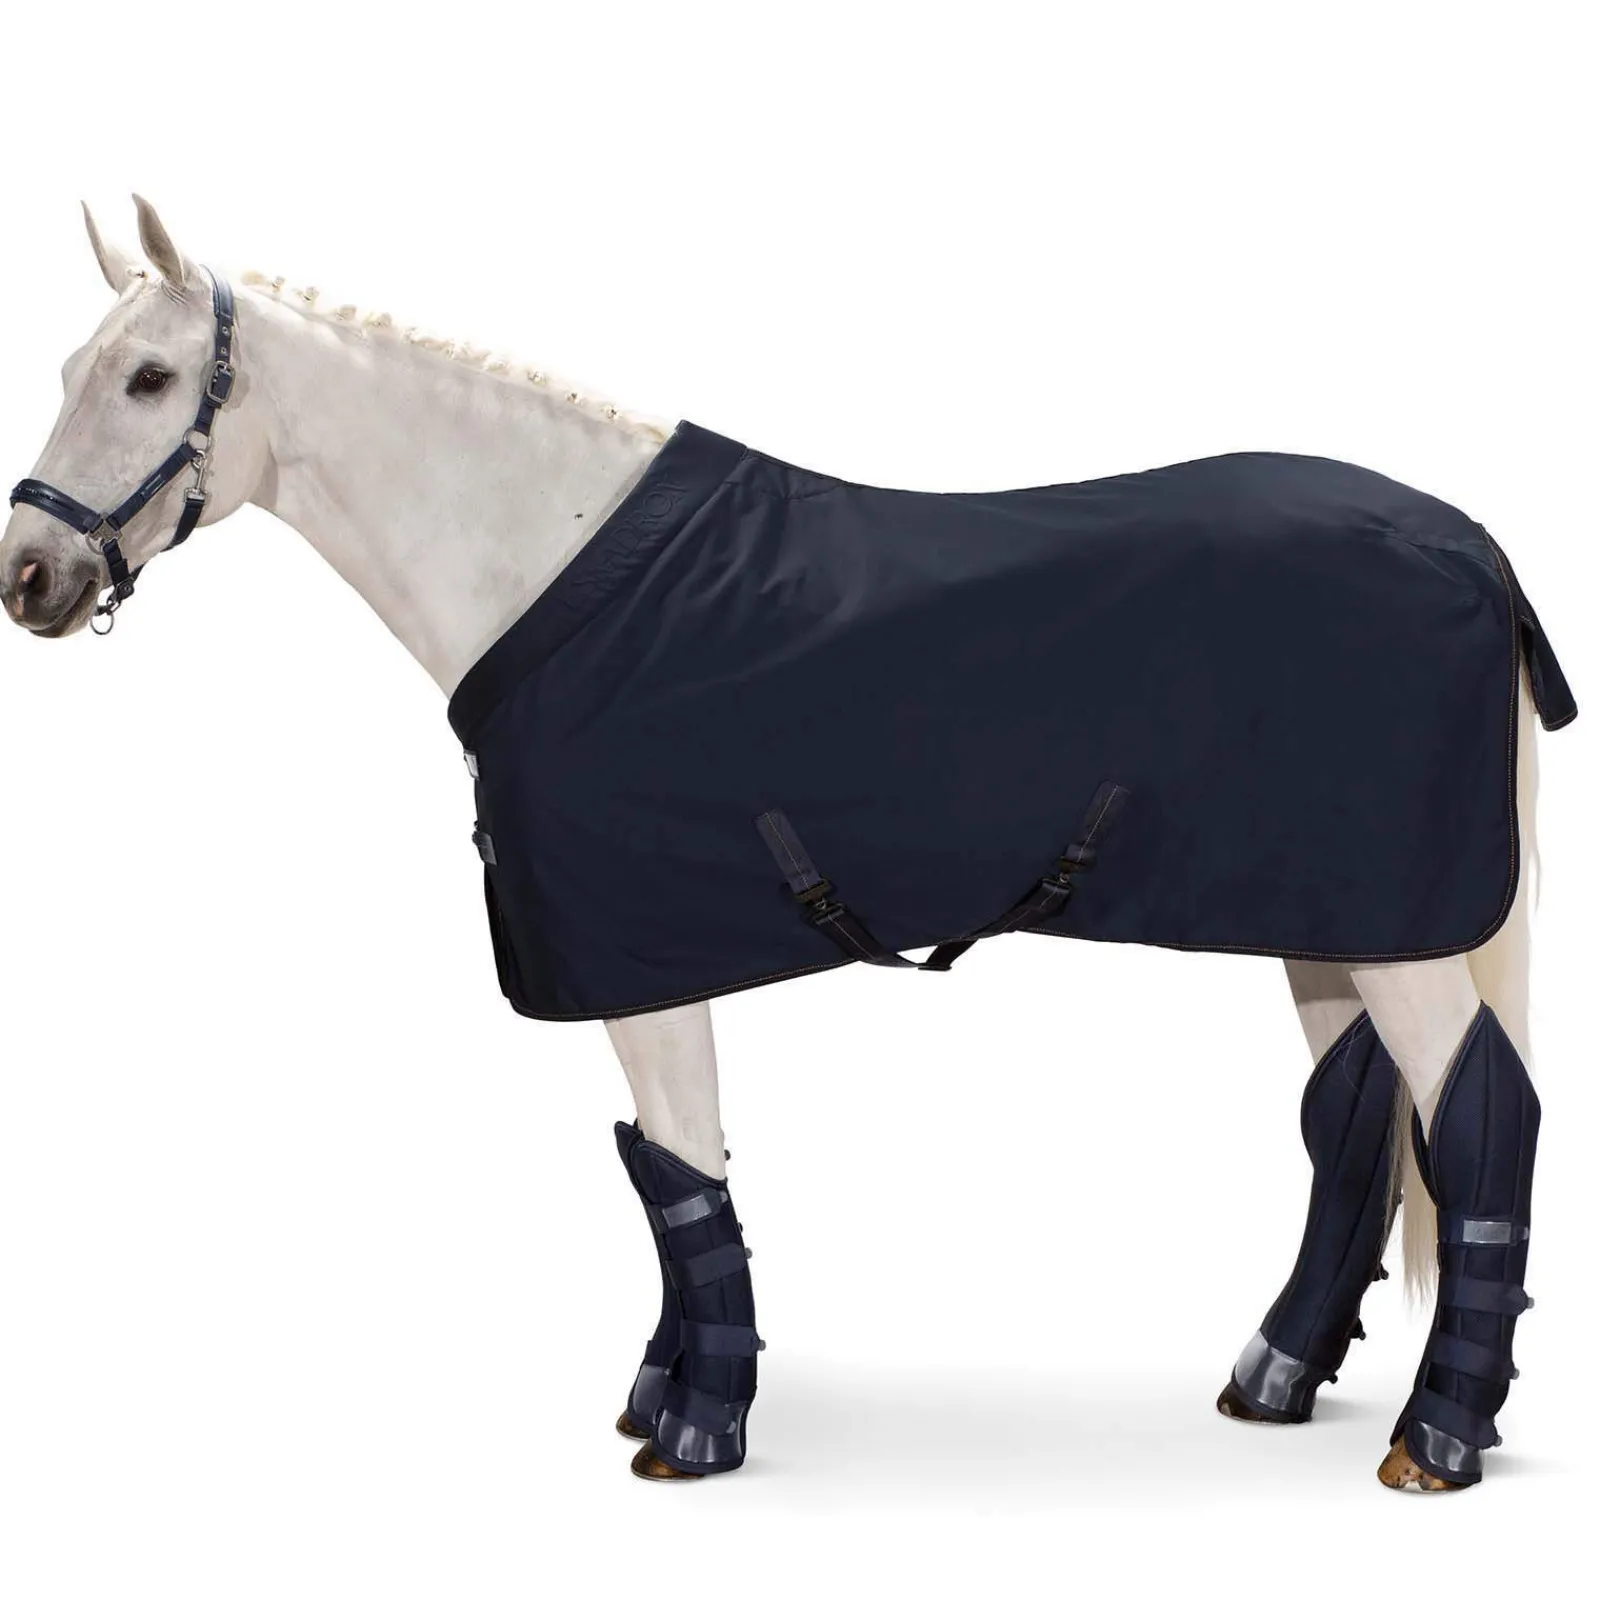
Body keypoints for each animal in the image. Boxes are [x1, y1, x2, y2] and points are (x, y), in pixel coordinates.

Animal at [1, 197, 1572, 1492]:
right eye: (72, 370)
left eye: (148, 380)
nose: (31, 575)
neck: (553, 572)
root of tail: (1470, 548)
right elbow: (670, 1175)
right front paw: (664, 1391)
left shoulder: (637, 960)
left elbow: (682, 1169)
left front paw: (698, 1426)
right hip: (1332, 917)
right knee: (1356, 1116)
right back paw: (1278, 1373)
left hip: (1395, 931)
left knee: (1480, 1115)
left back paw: (1439, 1437)